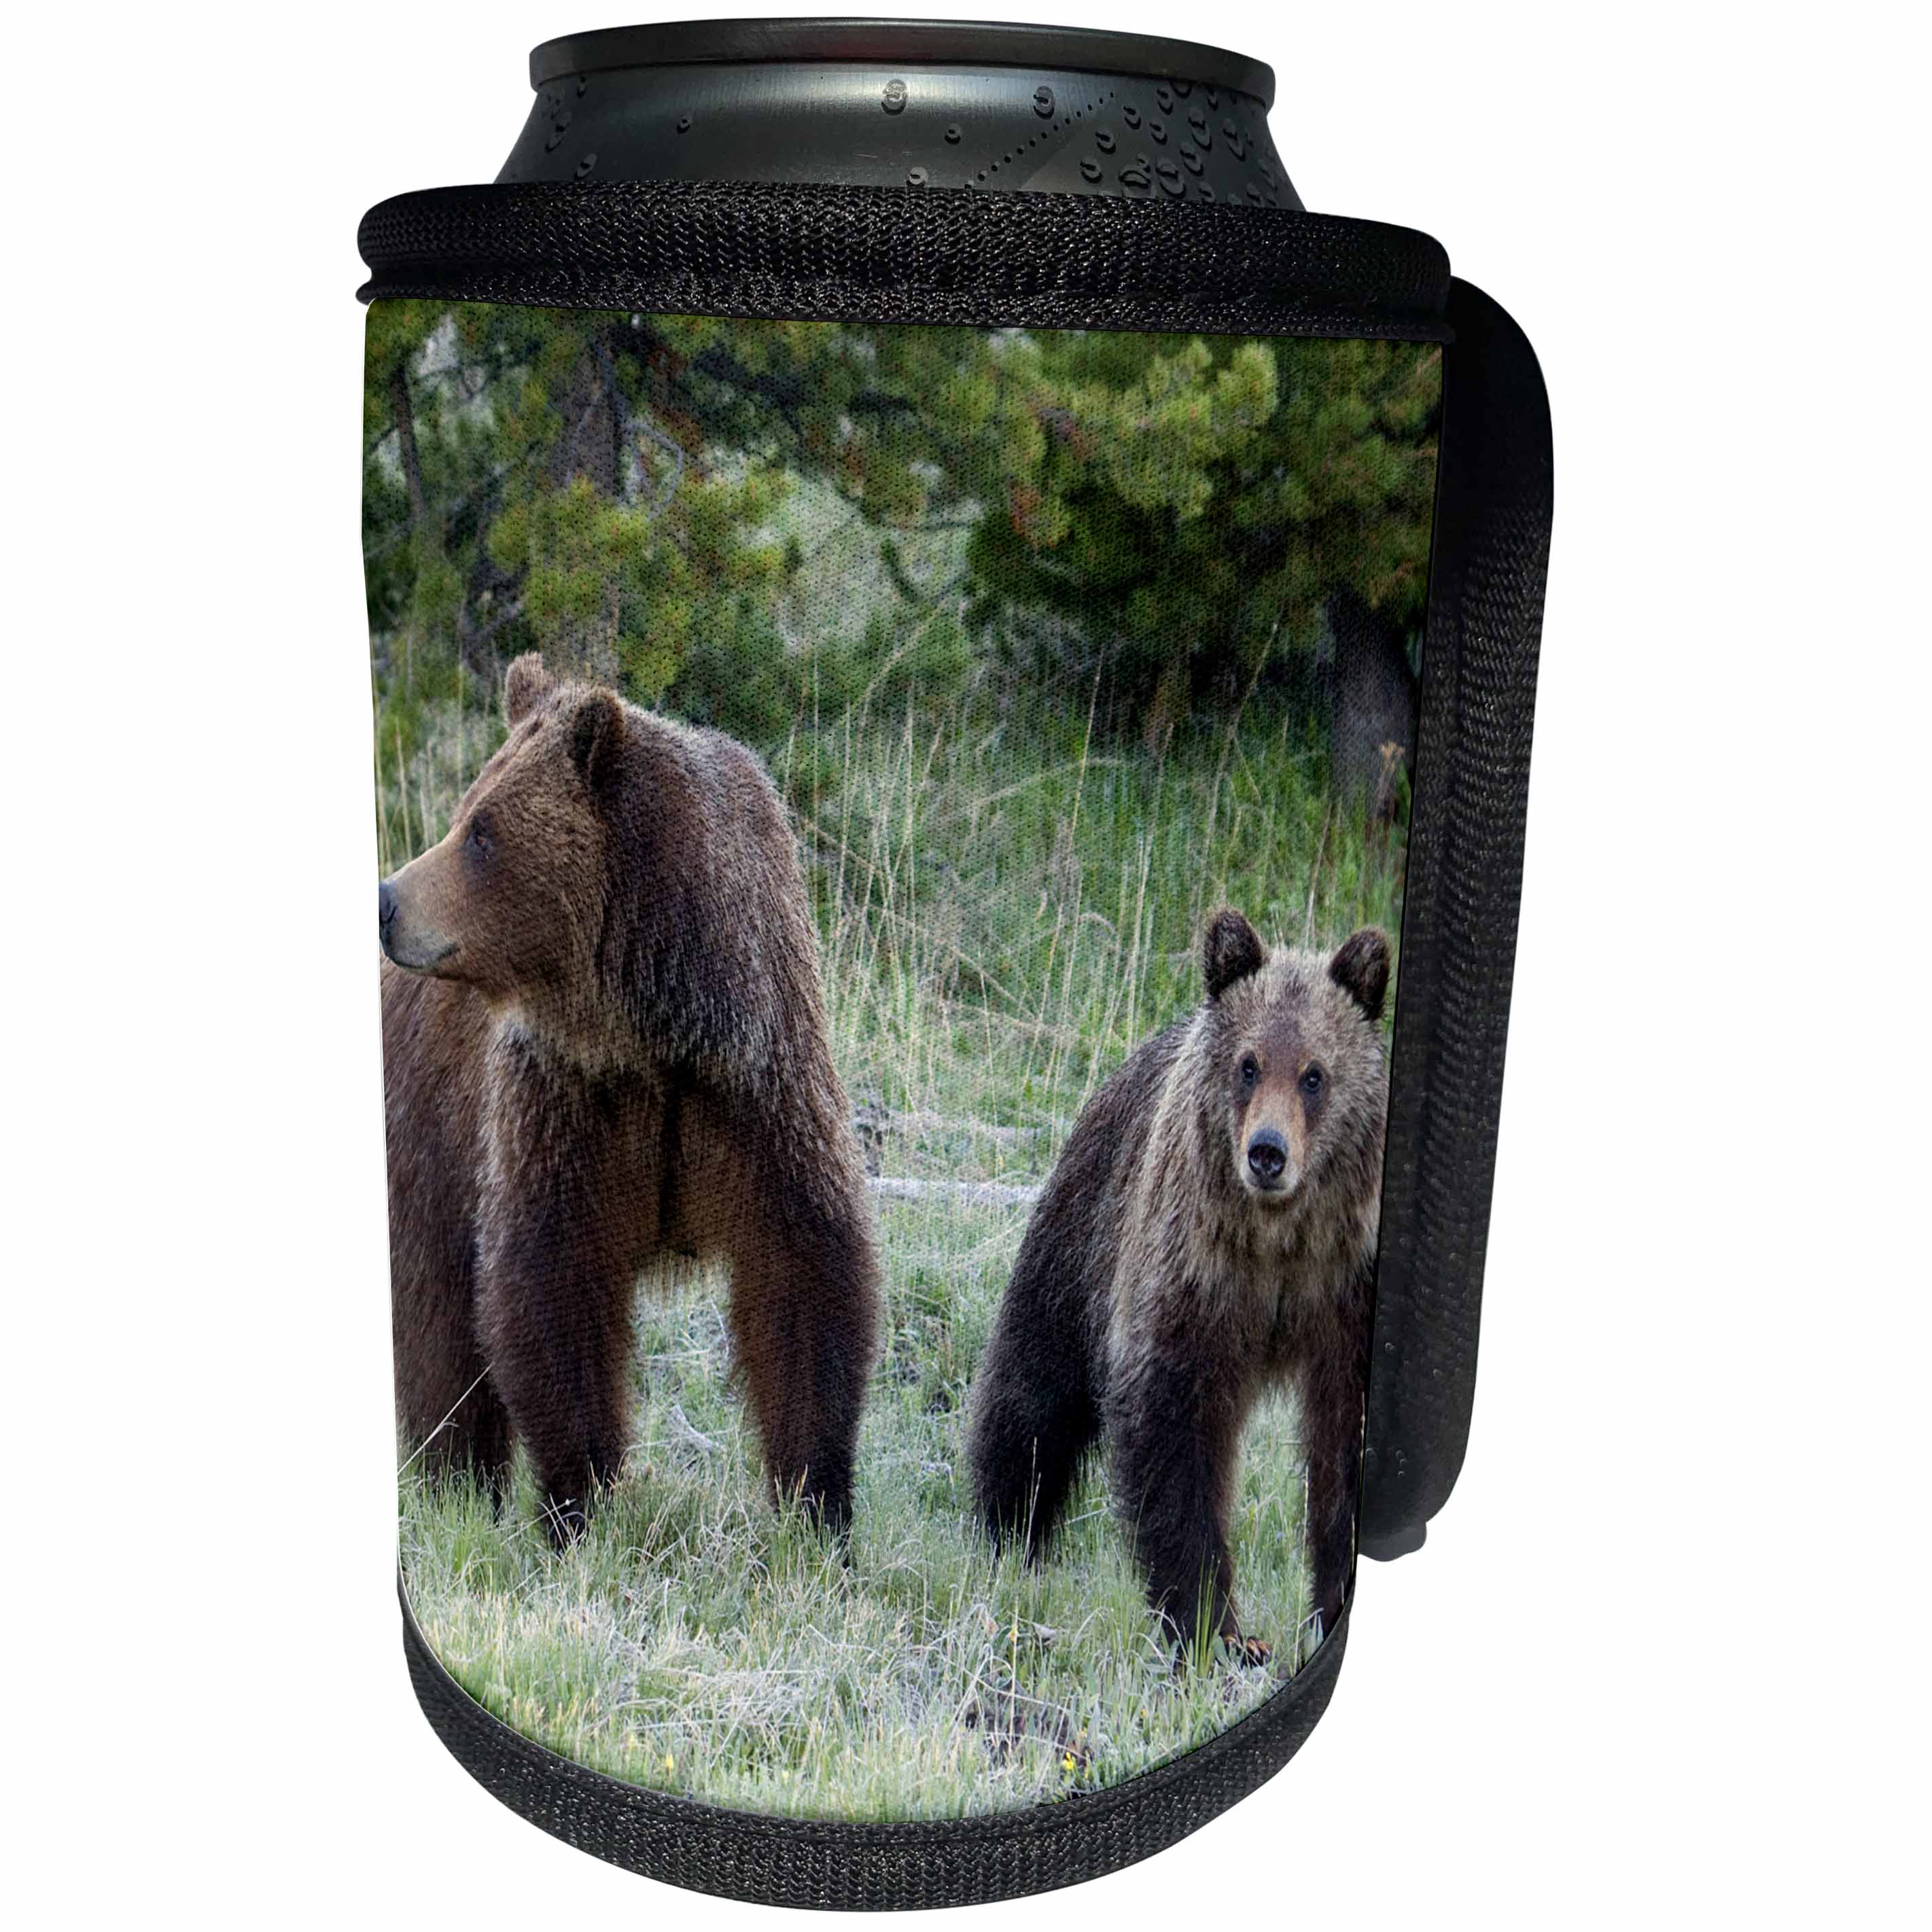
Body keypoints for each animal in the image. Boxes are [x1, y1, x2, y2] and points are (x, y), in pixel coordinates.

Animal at [379, 651, 881, 1539]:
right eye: (466, 811)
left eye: (482, 830)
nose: (386, 902)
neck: (655, 1029)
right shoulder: (561, 1101)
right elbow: (548, 1285)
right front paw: (577, 1503)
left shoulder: (758, 1087)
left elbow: (804, 1269)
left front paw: (817, 1500)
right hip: (427, 1137)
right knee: (439, 1326)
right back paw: (455, 1483)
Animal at [967, 908, 1390, 1657]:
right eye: (1248, 1063)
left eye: (1314, 1074)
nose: (1266, 1153)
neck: (1279, 1242)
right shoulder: (1192, 1272)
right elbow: (1172, 1425)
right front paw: (1210, 1625)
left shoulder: (1346, 1288)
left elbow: (1345, 1442)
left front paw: (1329, 1603)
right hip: (1085, 1223)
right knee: (1033, 1384)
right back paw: (1007, 1526)